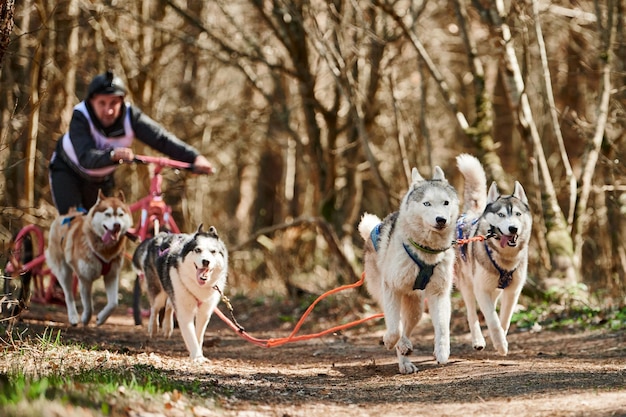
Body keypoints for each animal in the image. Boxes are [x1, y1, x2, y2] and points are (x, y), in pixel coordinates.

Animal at [47, 189, 133, 324]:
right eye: (108, 214)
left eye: (120, 214)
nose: (117, 225)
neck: (105, 250)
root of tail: (67, 215)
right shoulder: (85, 278)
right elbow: (89, 305)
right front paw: (86, 318)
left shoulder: (112, 275)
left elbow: (114, 303)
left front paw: (101, 318)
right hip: (63, 272)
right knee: (68, 295)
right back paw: (73, 317)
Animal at [132, 224, 227, 360]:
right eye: (197, 250)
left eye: (213, 251)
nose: (206, 261)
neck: (198, 286)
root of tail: (159, 236)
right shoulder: (184, 310)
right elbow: (190, 334)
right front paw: (197, 356)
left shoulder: (205, 311)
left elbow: (198, 335)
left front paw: (198, 352)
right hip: (159, 290)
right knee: (155, 307)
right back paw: (153, 327)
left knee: (169, 306)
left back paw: (167, 327)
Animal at [356, 166, 458, 374]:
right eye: (427, 203)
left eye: (446, 202)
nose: (441, 220)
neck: (426, 250)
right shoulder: (391, 287)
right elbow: (394, 329)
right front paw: (389, 341)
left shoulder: (439, 292)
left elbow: (442, 326)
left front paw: (442, 352)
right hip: (387, 295)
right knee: (397, 324)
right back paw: (402, 355)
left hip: (415, 307)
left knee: (407, 327)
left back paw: (406, 353)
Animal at [454, 154, 532, 354]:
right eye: (501, 215)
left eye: (518, 214)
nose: (513, 228)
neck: (505, 258)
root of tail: (470, 213)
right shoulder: (481, 289)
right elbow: (493, 319)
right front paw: (500, 343)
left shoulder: (513, 291)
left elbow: (504, 320)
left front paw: (501, 341)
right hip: (467, 284)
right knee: (471, 312)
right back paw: (478, 340)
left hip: (494, 289)